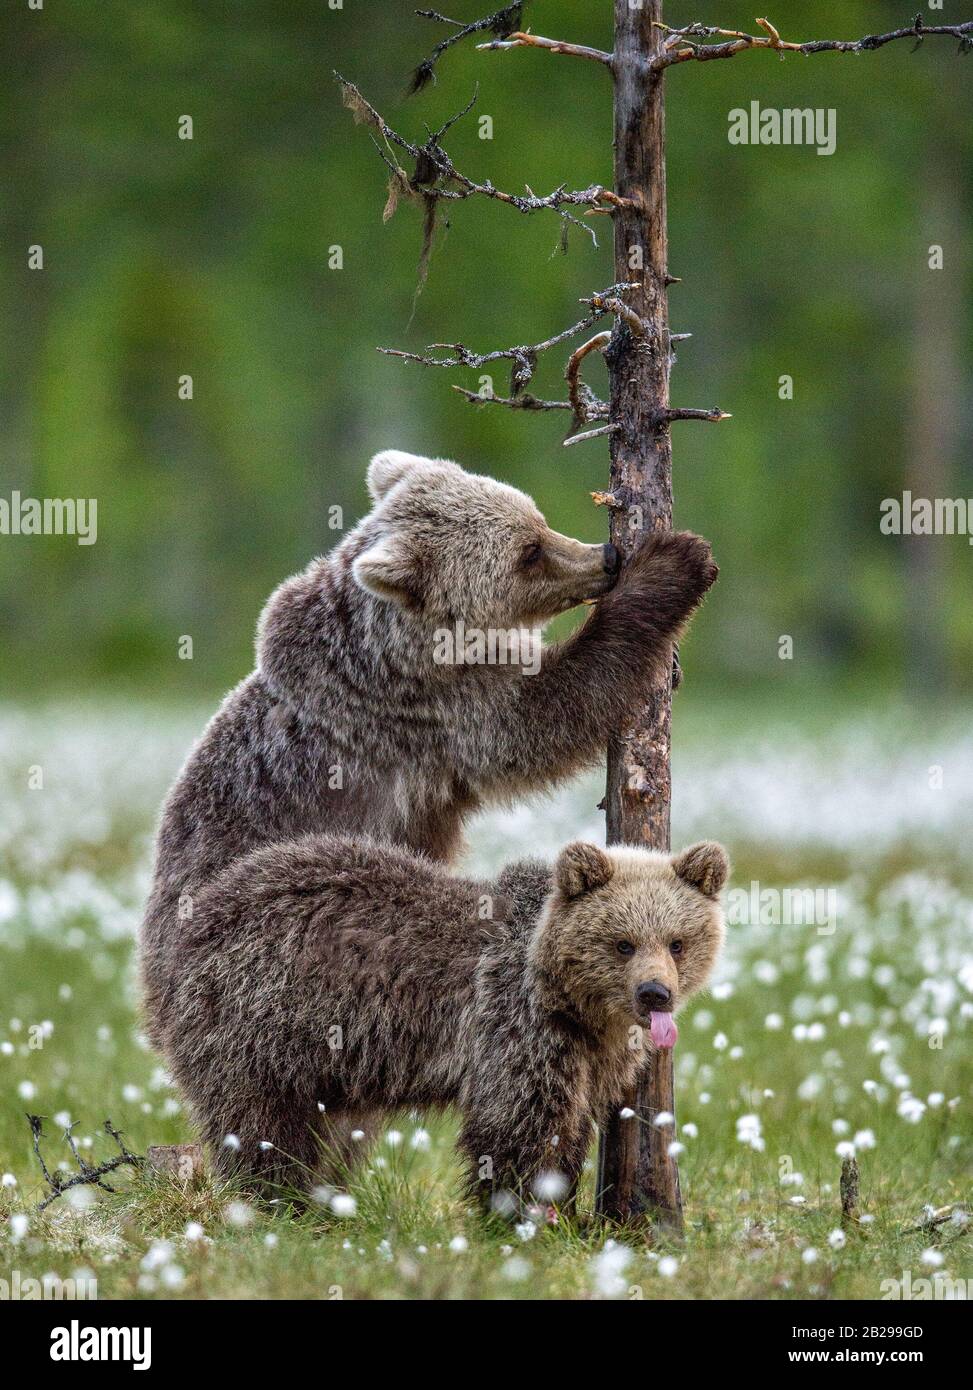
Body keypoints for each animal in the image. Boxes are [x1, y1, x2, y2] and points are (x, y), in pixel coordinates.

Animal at [141, 450, 718, 1044]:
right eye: (528, 554)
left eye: (536, 519)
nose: (605, 557)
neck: (415, 650)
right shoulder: (435, 716)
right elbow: (546, 715)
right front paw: (674, 564)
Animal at [158, 832, 729, 1208]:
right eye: (623, 942)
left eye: (677, 942)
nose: (654, 993)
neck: (575, 1006)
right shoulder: (517, 1028)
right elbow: (518, 1130)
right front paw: (518, 1218)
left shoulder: (593, 1058)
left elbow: (571, 1130)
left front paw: (562, 1211)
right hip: (257, 1020)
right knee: (258, 1123)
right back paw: (275, 1199)